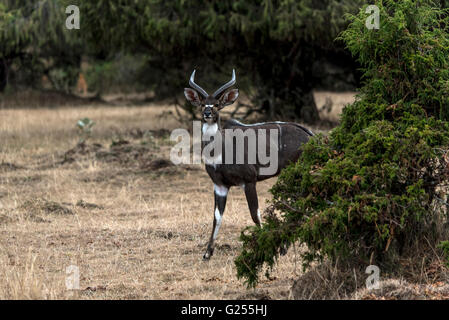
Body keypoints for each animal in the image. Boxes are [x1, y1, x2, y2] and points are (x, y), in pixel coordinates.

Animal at [184, 69, 314, 258]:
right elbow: (217, 216)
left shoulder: (249, 180)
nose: (207, 113)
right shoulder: (220, 185)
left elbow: (255, 214)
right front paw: (207, 253)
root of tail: (310, 135)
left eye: (216, 104)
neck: (221, 151)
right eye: (202, 104)